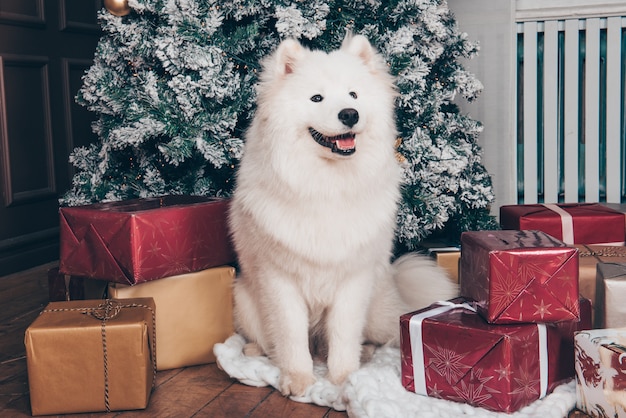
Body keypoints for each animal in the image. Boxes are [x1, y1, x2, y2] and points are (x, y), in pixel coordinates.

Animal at [227, 33, 456, 396]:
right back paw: (256, 350)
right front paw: (298, 379)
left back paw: (364, 353)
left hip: (378, 309)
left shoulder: (353, 279)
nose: (350, 114)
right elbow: (291, 335)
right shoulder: (280, 280)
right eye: (316, 97)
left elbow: (344, 333)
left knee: (378, 338)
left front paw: (344, 379)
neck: (328, 185)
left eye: (353, 95)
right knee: (267, 340)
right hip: (246, 302)